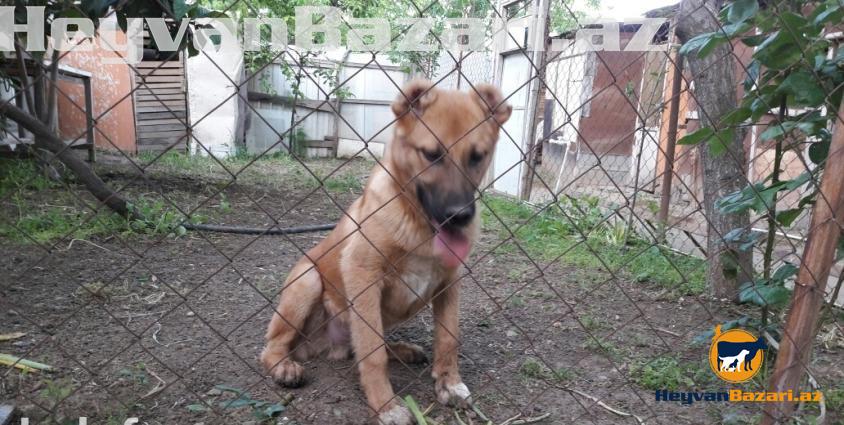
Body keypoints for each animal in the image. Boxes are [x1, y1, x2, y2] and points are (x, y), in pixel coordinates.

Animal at [260, 79, 512, 425]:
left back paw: (403, 350)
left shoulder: (450, 282)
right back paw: (284, 366)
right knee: (275, 345)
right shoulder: (363, 274)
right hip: (308, 280)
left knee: (361, 345)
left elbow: (448, 337)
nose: (460, 216)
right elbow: (372, 352)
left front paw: (449, 383)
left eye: (477, 156)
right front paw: (386, 405)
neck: (419, 226)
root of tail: (324, 345)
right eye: (431, 154)